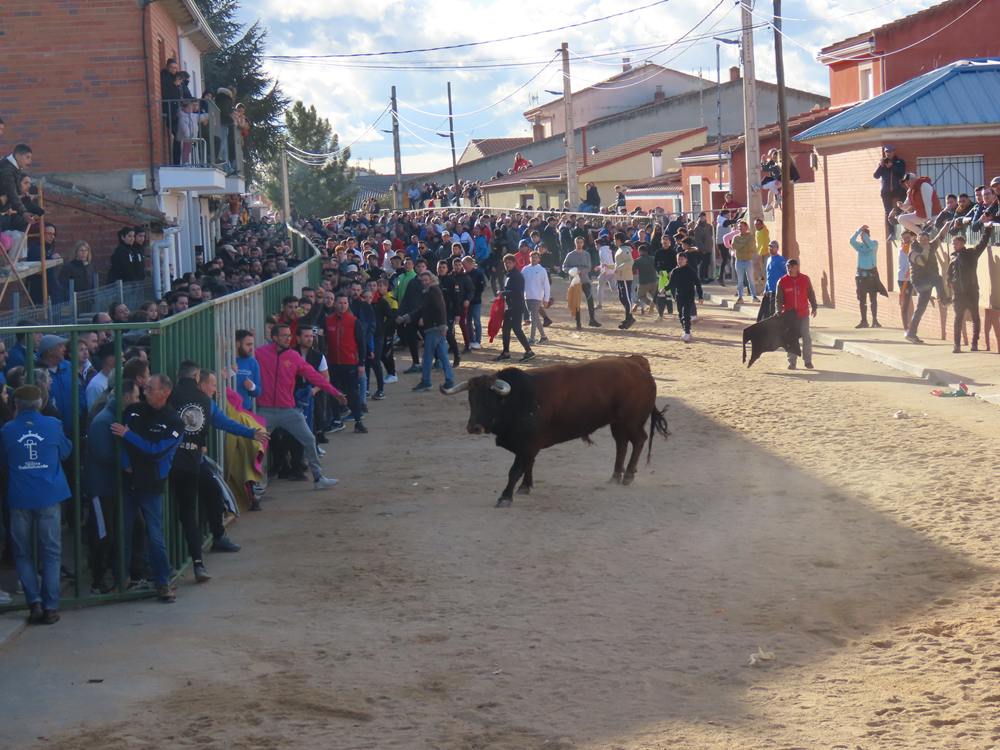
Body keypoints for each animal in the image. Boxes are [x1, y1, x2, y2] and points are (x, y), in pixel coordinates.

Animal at [440, 356, 668, 508]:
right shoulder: (528, 446)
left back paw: (628, 475)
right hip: (617, 423)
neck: (517, 401)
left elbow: (515, 470)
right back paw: (615, 476)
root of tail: (637, 364)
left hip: (631, 422)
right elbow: (528, 465)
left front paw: (505, 496)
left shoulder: (527, 445)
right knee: (621, 444)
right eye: (471, 399)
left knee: (639, 440)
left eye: (490, 400)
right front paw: (525, 487)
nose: (473, 427)